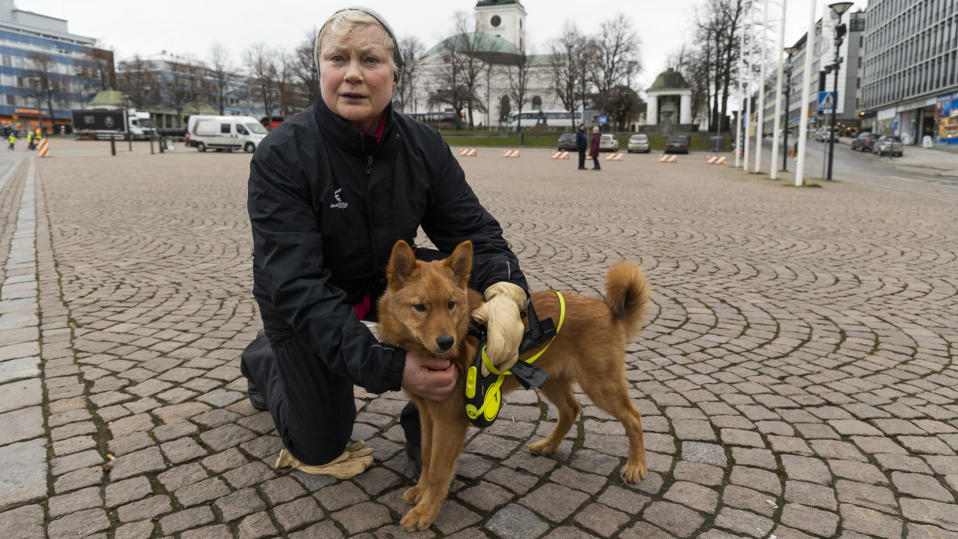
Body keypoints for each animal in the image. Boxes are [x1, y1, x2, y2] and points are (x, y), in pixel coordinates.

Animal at [378, 240, 656, 532]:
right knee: (571, 410)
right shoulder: (428, 415)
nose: (446, 342)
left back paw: (636, 465)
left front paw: (426, 511)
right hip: (551, 381)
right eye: (420, 307)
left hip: (600, 386)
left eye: (451, 304)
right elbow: (427, 456)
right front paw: (420, 491)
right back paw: (548, 445)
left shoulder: (449, 421)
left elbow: (439, 471)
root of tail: (609, 311)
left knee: (633, 416)